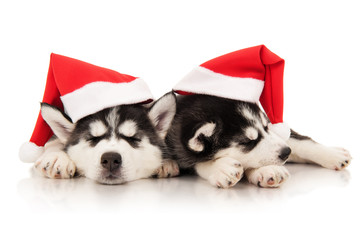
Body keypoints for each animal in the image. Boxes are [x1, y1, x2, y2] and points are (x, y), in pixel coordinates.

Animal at [166, 94, 352, 188]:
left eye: (266, 127)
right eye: (248, 142)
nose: (286, 152)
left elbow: (297, 141)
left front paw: (332, 154)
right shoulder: (178, 146)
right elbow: (197, 162)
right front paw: (221, 168)